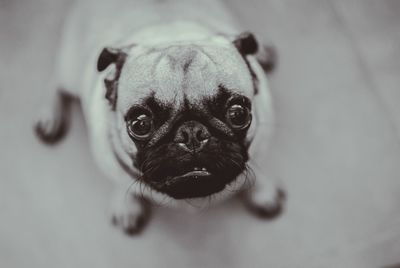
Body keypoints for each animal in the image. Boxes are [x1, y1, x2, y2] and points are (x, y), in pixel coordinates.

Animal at [33, 0, 284, 234]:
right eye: (140, 124)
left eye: (238, 114)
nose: (192, 133)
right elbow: (120, 181)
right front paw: (126, 205)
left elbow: (256, 170)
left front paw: (263, 191)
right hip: (70, 71)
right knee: (56, 82)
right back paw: (49, 118)